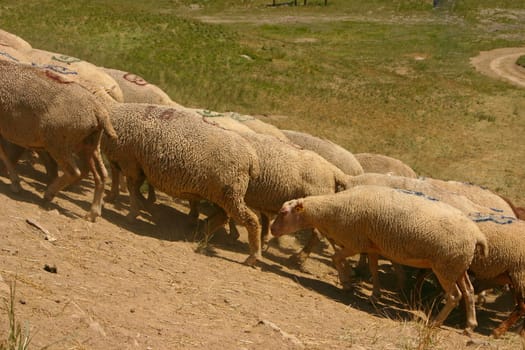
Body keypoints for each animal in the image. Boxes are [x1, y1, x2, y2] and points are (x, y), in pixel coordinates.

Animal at [0, 58, 116, 220]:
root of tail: (98, 110)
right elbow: (3, 153)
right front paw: (15, 183)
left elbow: (3, 154)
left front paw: (16, 183)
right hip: (89, 144)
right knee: (101, 175)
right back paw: (92, 213)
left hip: (58, 143)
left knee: (74, 172)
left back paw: (49, 193)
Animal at [270, 185, 488, 332]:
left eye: (283, 212)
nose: (272, 230)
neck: (330, 211)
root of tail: (477, 235)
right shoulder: (371, 246)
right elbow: (374, 271)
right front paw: (374, 295)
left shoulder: (355, 243)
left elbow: (335, 257)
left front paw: (346, 283)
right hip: (458, 267)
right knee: (469, 292)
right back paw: (470, 326)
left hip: (445, 266)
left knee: (454, 296)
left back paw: (434, 323)